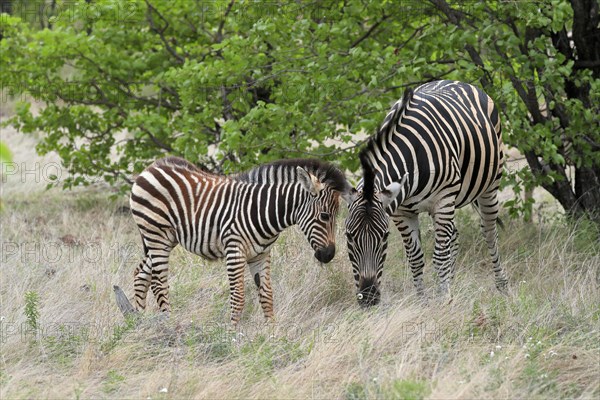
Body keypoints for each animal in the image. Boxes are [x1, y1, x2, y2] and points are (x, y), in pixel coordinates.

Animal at [127, 156, 352, 324]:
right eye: (325, 216)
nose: (329, 255)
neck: (263, 210)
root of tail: (151, 167)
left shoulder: (261, 254)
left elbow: (267, 295)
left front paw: (272, 334)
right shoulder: (234, 251)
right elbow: (238, 296)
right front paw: (233, 336)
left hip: (165, 239)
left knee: (140, 274)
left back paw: (139, 324)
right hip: (156, 235)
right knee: (159, 283)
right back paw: (169, 325)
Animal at [344, 80, 508, 306]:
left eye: (385, 237)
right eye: (349, 236)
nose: (368, 298)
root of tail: (456, 81)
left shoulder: (443, 200)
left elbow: (438, 257)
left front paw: (443, 301)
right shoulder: (401, 212)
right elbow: (415, 258)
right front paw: (424, 302)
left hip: (488, 186)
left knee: (489, 233)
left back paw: (502, 286)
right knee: (453, 237)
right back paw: (451, 282)